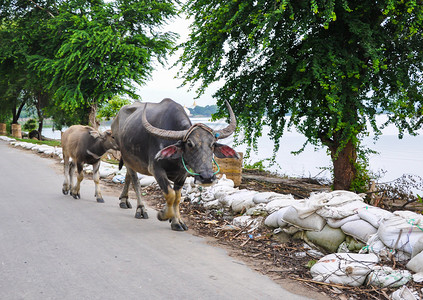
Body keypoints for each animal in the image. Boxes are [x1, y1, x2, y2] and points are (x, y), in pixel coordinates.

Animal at [111, 97, 240, 231]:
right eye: (189, 144)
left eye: (213, 144)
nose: (207, 178)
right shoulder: (156, 169)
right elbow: (170, 194)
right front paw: (163, 214)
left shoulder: (182, 174)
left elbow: (177, 198)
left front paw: (177, 221)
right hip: (127, 158)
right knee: (135, 180)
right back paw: (141, 209)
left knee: (128, 176)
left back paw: (124, 200)